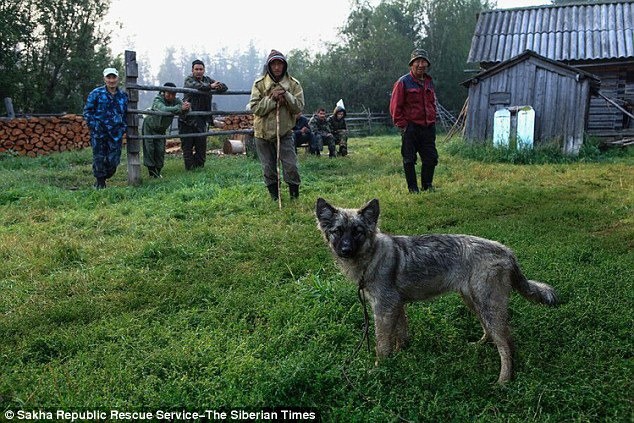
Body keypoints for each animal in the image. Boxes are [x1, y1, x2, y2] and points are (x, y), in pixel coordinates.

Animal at [314, 198, 556, 384]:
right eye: (337, 231)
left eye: (358, 232)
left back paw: (504, 380)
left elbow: (382, 345)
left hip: (488, 305)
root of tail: (507, 251)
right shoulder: (396, 305)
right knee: (490, 332)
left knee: (506, 344)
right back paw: (479, 344)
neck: (372, 256)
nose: (345, 250)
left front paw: (379, 369)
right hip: (474, 301)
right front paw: (400, 355)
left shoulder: (384, 307)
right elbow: (400, 335)